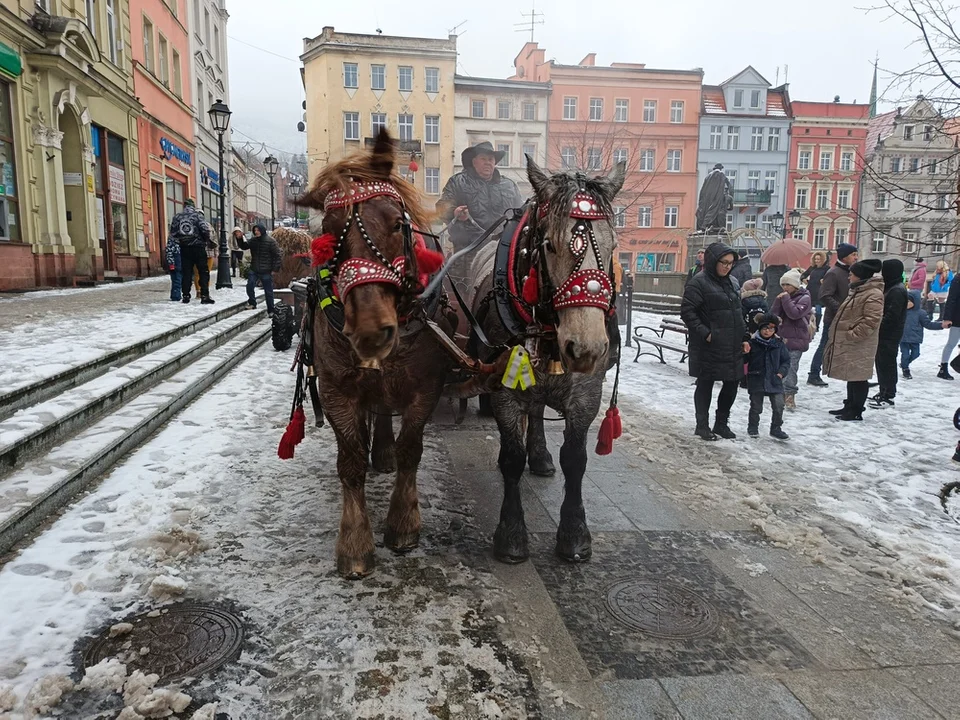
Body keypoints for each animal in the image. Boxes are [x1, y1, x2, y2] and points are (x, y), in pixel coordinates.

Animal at [294, 131, 456, 580]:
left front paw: (403, 523)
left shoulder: (425, 386)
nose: (370, 330)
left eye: (397, 223)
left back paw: (381, 452)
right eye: (327, 236)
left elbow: (410, 450)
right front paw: (354, 544)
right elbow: (349, 462)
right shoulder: (336, 390)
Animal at [468, 156, 628, 564]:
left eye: (613, 244)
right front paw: (511, 535)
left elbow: (575, 459)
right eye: (549, 246)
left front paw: (574, 534)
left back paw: (539, 456)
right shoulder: (505, 388)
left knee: (538, 411)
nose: (586, 349)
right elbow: (511, 458)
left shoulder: (586, 393)